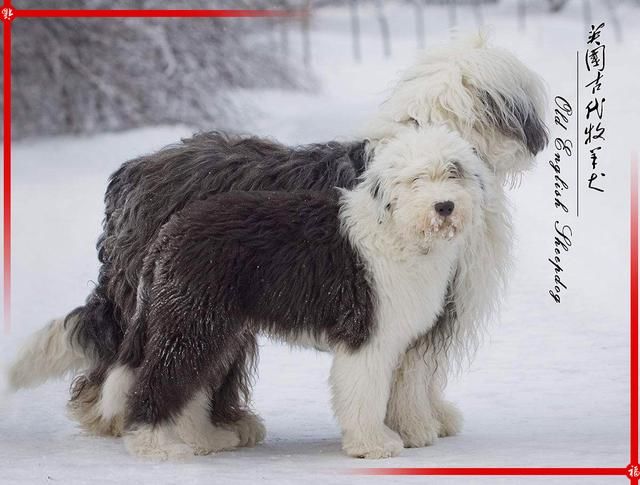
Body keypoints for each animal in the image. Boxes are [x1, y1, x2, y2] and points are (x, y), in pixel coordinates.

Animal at [7, 35, 544, 454]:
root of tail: (132, 173)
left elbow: (414, 371)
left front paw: (430, 418)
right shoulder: (410, 303)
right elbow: (411, 373)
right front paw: (414, 429)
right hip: (183, 305)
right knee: (134, 364)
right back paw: (124, 422)